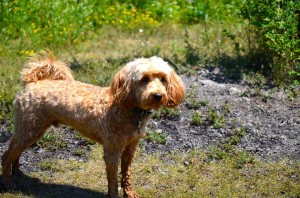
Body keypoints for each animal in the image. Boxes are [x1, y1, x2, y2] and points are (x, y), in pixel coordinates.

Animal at [1, 51, 185, 197]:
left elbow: (126, 174)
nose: (158, 96)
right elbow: (113, 179)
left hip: (32, 130)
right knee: (7, 155)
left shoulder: (130, 147)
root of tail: (32, 83)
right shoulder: (112, 149)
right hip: (29, 128)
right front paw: (114, 195)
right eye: (144, 79)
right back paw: (9, 184)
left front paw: (129, 193)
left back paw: (17, 172)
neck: (128, 108)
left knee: (16, 153)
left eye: (163, 79)